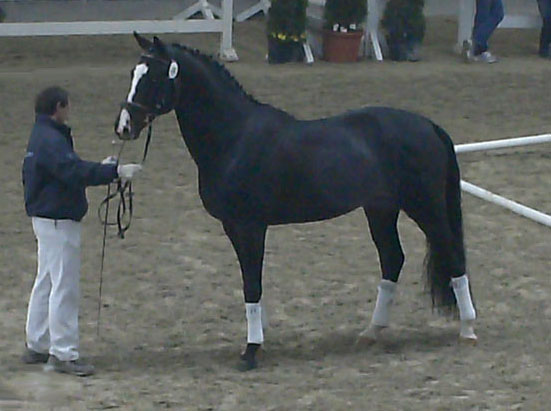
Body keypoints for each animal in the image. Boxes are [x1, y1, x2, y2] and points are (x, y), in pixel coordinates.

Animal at [114, 33, 476, 372]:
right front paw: (258, 340)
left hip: (425, 207)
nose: (124, 127)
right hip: (381, 210)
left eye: (153, 77)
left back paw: (468, 330)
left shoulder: (250, 227)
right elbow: (252, 284)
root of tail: (429, 126)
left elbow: (251, 285)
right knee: (392, 259)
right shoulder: (234, 227)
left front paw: (251, 351)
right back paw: (372, 332)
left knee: (452, 255)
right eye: (133, 73)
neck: (235, 137)